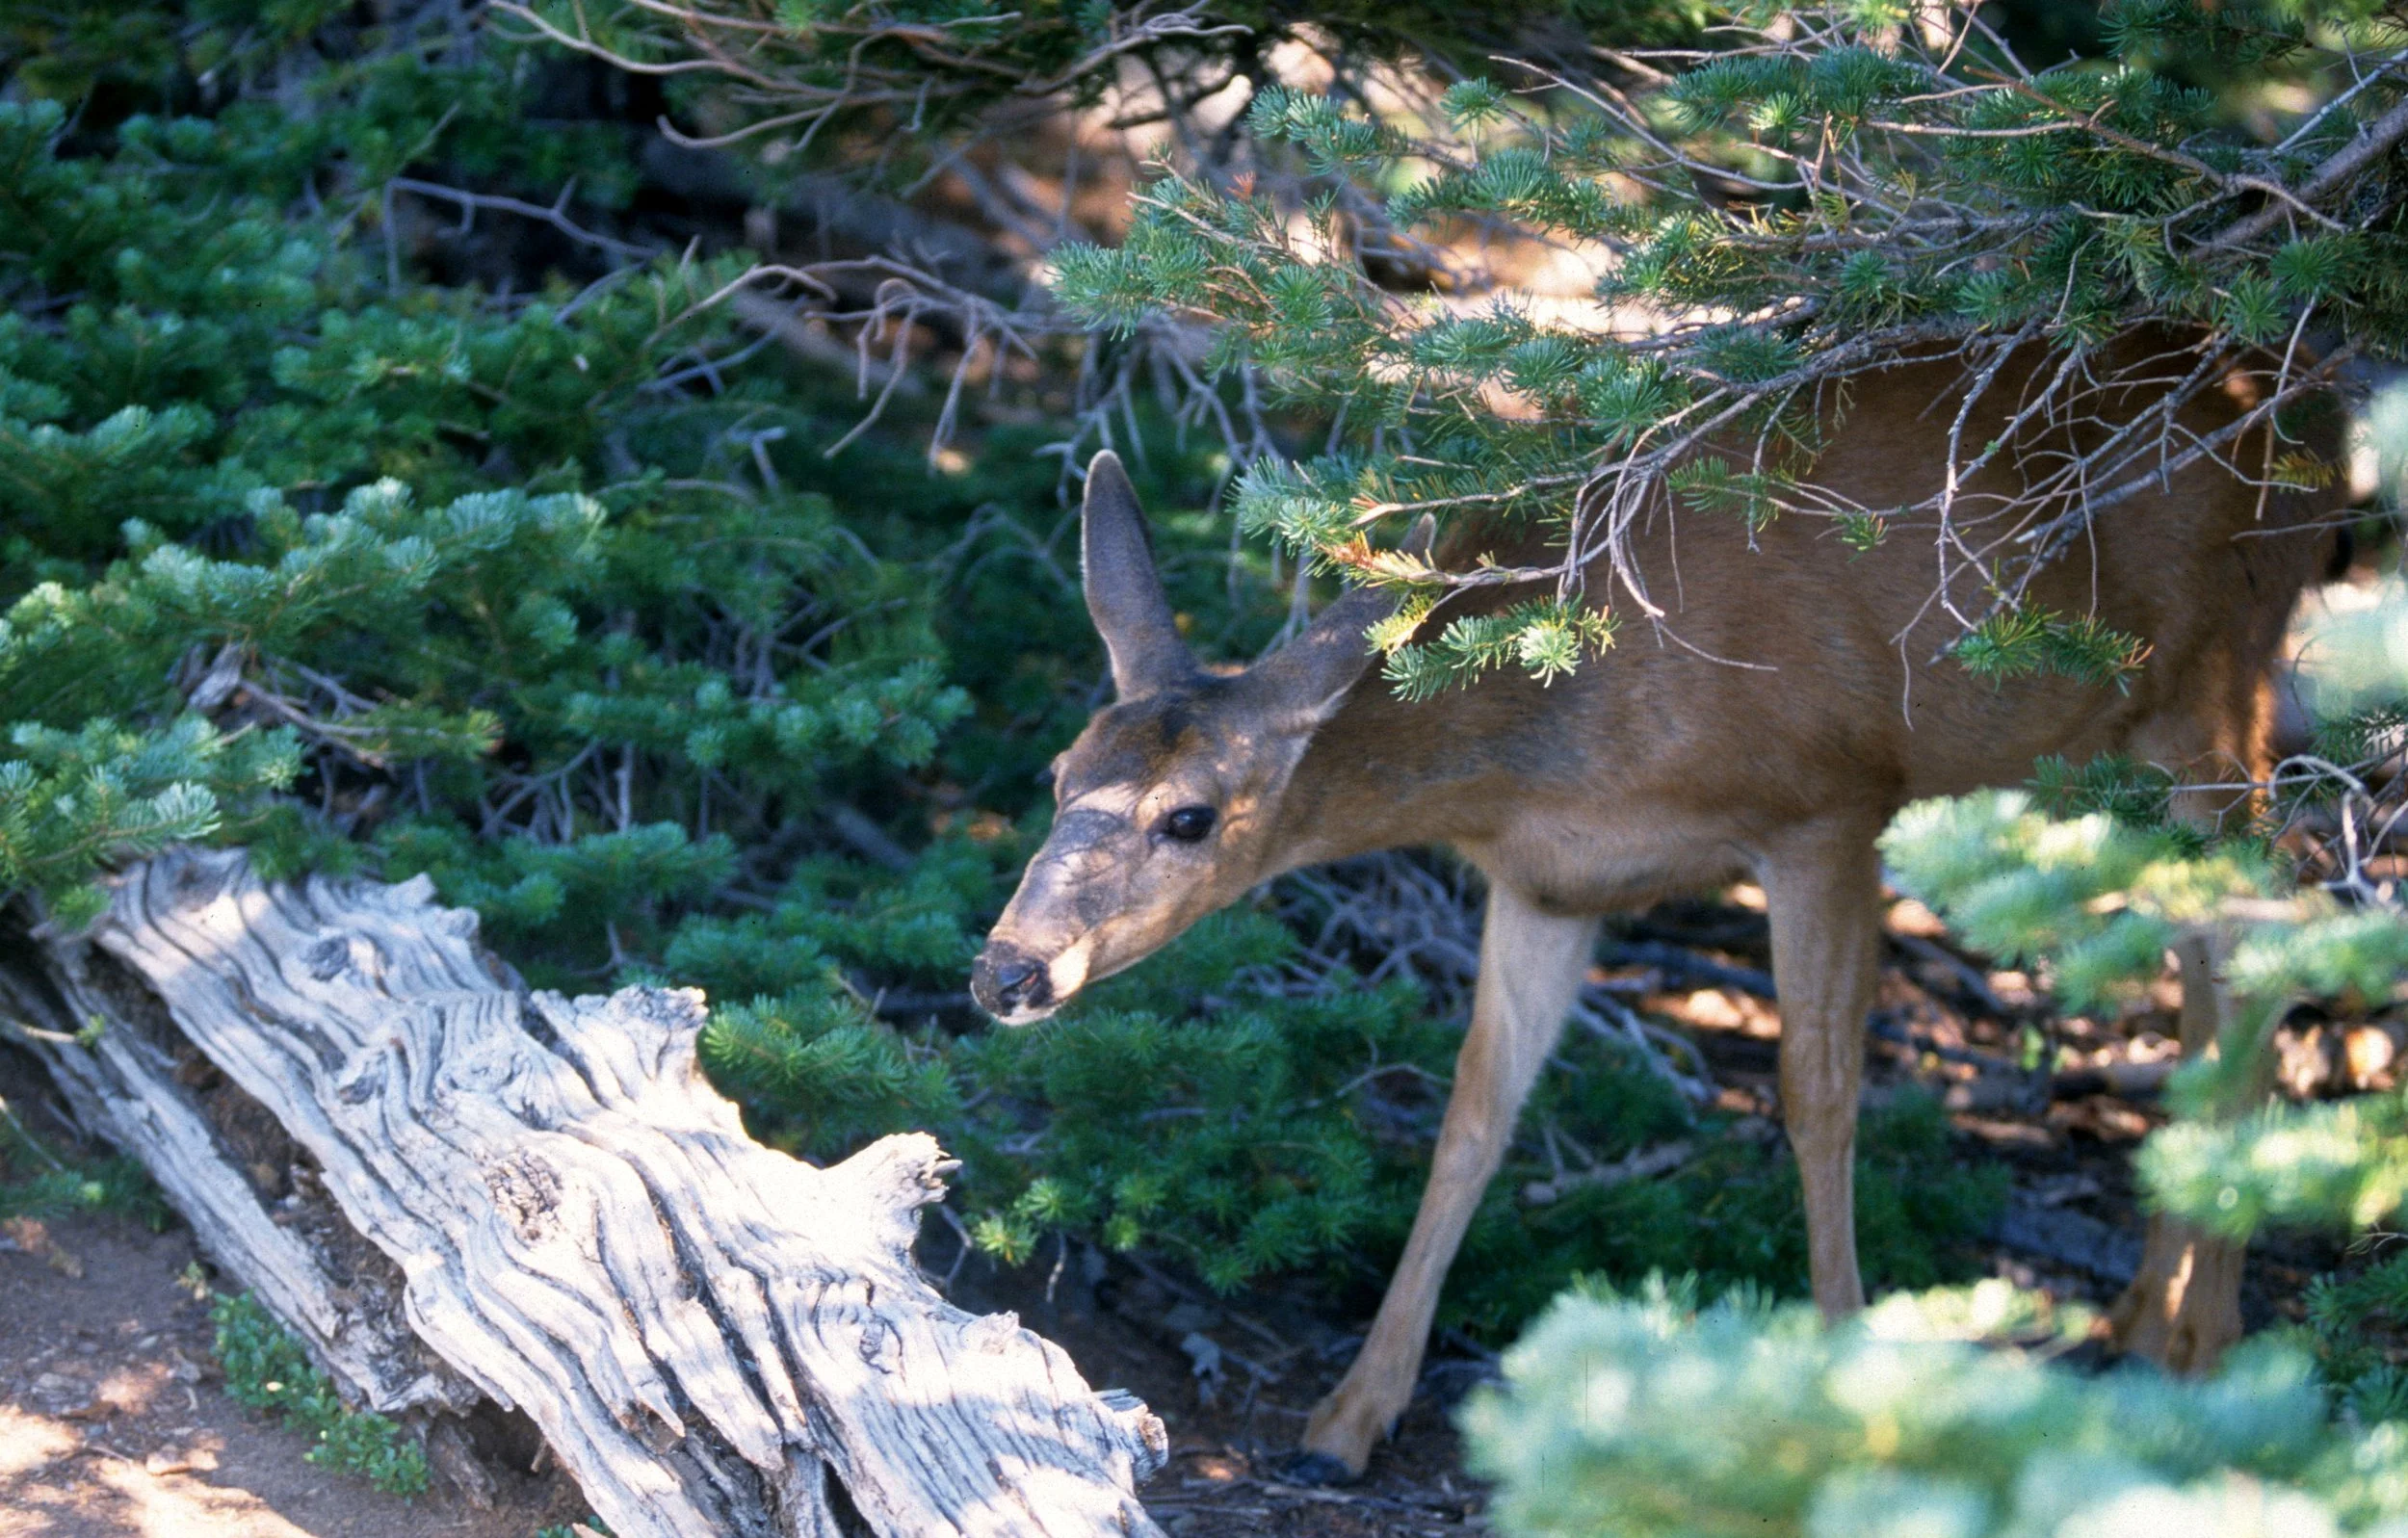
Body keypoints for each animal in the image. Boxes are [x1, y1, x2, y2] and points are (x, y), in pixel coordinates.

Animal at [969, 340, 2336, 1482]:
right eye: (1058, 776)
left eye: (1189, 818)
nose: (1006, 971)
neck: (1561, 726)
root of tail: (2309, 405)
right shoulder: (1545, 880)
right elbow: (1475, 1112)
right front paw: (1348, 1418)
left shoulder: (1830, 804)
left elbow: (1818, 1097)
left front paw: (1850, 1376)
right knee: (2204, 949)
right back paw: (2142, 1315)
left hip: (2212, 694)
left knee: (2275, 917)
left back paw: (2204, 1339)